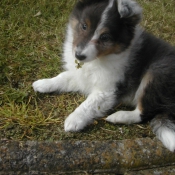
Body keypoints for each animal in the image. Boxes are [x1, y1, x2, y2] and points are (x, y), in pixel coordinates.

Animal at [32, 0, 175, 152]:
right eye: (84, 26)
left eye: (105, 37)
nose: (79, 56)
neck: (100, 57)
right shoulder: (82, 76)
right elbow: (63, 77)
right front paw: (44, 84)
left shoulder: (107, 90)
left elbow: (89, 104)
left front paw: (73, 120)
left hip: (156, 72)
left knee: (145, 112)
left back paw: (118, 116)